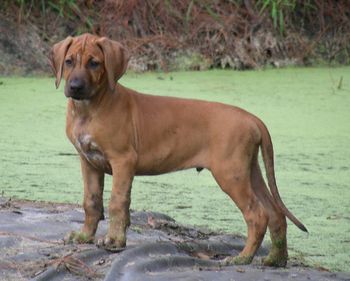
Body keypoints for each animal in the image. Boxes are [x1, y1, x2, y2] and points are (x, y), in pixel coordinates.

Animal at [49, 34, 306, 266]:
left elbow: (116, 203)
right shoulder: (88, 161)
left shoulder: (123, 161)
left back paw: (242, 258)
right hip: (249, 171)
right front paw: (84, 236)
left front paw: (114, 241)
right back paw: (275, 260)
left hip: (230, 174)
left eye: (94, 63)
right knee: (276, 213)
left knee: (257, 215)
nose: (75, 87)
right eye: (69, 61)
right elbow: (91, 201)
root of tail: (253, 118)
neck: (91, 108)